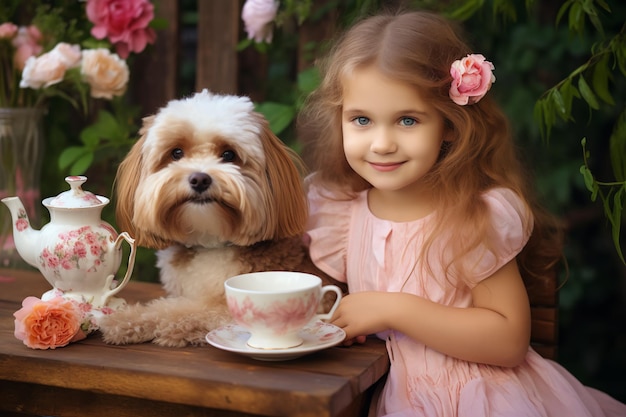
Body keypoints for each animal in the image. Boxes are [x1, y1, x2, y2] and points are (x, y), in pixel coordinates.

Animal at [97, 91, 336, 348]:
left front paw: (157, 323)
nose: (200, 179)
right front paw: (127, 320)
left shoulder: (222, 306)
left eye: (229, 154)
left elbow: (182, 309)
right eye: (176, 153)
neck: (210, 241)